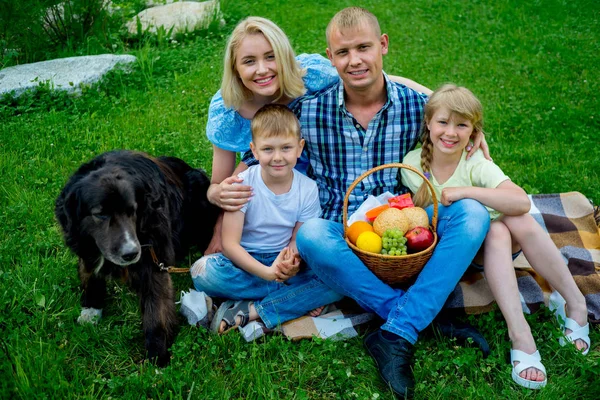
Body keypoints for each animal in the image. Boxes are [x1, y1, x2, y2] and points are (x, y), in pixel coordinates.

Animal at [55, 150, 219, 366]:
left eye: (132, 211)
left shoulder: (153, 261)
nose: (131, 253)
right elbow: (91, 278)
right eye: (100, 214)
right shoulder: (88, 246)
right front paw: (91, 309)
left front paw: (157, 356)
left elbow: (156, 310)